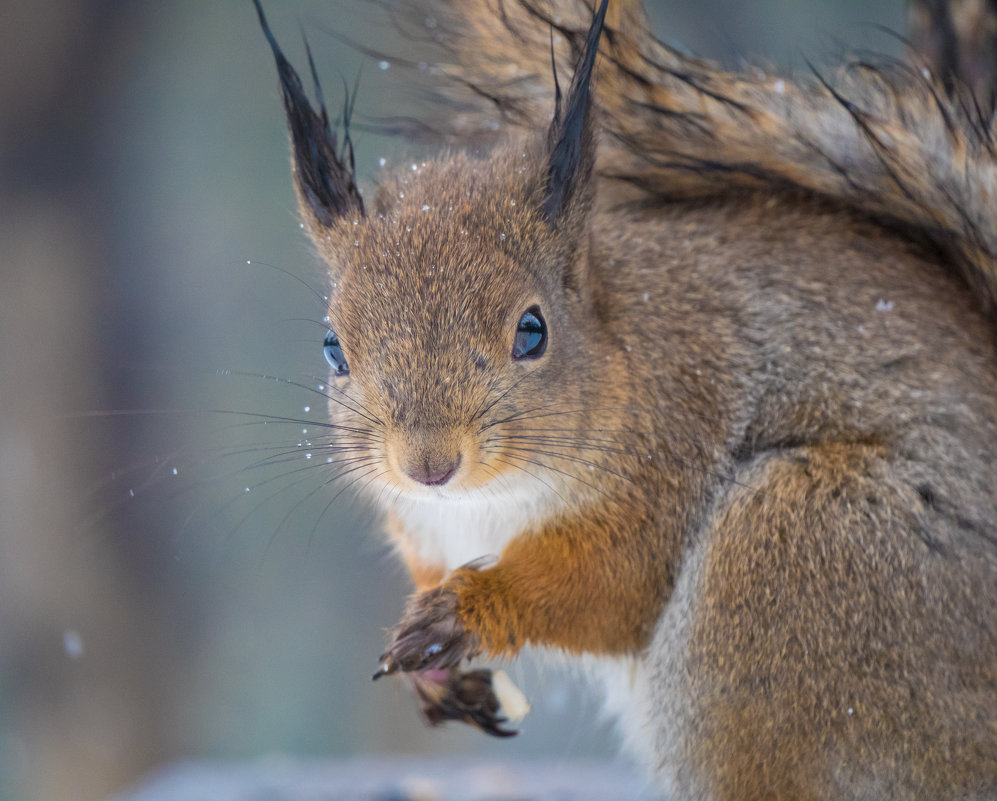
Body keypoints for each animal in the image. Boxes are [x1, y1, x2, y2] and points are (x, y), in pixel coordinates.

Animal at [253, 0, 992, 796]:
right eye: (333, 347)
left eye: (532, 330)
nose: (428, 465)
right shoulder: (423, 528)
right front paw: (436, 679)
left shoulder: (677, 435)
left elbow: (611, 586)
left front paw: (465, 612)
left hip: (797, 562)